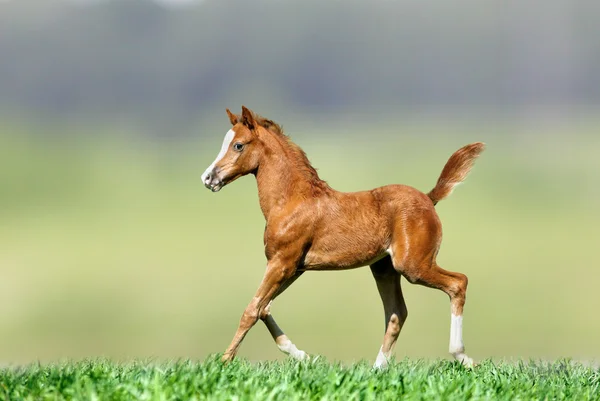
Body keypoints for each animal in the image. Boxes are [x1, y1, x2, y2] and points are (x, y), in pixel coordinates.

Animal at [200, 107, 482, 368]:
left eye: (238, 145)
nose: (208, 177)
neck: (292, 200)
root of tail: (428, 198)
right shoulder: (293, 268)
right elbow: (264, 307)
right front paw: (303, 355)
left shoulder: (282, 263)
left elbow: (251, 310)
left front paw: (223, 363)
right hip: (384, 268)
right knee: (396, 313)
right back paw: (377, 369)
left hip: (413, 266)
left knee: (458, 283)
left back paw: (462, 356)